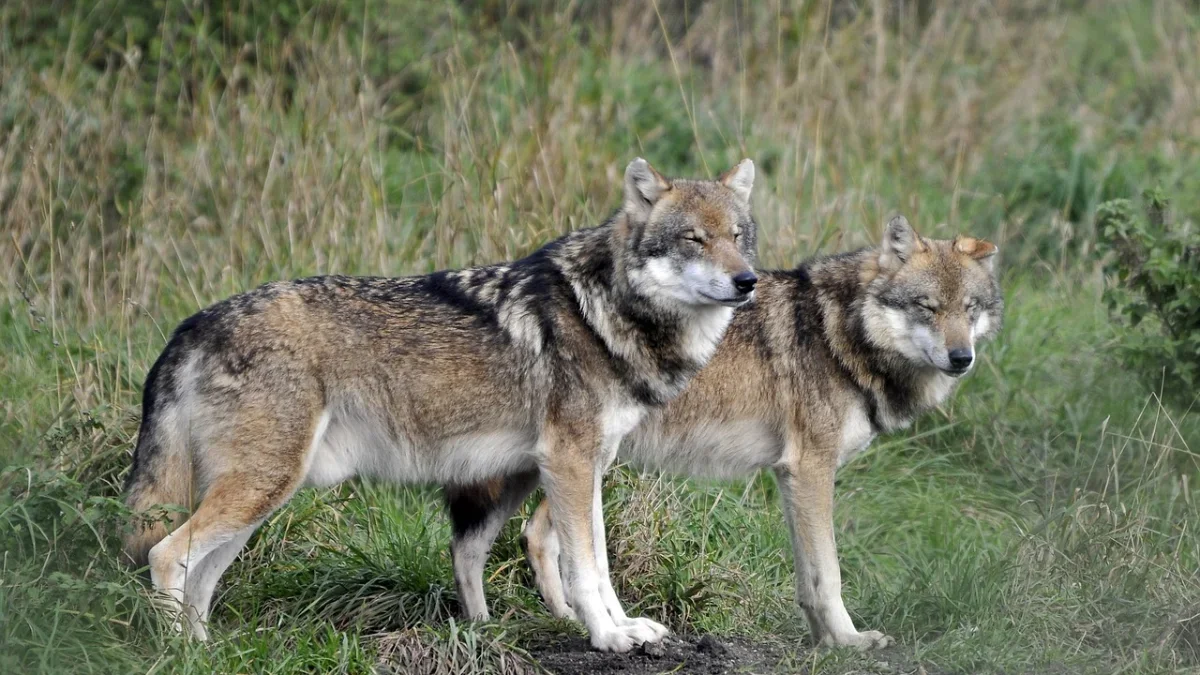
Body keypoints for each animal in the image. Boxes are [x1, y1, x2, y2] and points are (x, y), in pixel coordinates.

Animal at [124, 154, 758, 648]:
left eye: (737, 237)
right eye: (693, 239)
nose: (747, 281)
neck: (602, 311)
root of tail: (192, 324)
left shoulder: (590, 465)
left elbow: (598, 564)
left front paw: (625, 628)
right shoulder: (570, 463)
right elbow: (584, 568)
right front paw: (606, 637)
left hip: (261, 497)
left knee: (201, 578)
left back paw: (204, 650)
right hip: (261, 487)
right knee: (165, 556)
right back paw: (181, 653)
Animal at [441, 214, 1003, 648]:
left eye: (970, 309)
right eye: (927, 308)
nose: (961, 358)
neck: (837, 334)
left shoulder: (791, 478)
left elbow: (808, 577)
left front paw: (823, 642)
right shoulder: (810, 470)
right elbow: (829, 574)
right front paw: (849, 641)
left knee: (528, 536)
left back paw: (549, 621)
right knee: (521, 538)